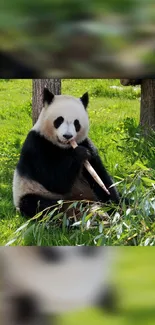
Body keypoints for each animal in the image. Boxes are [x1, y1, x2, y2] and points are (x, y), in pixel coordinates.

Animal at [12, 88, 120, 220]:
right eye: (59, 120)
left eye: (76, 123)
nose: (67, 136)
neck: (64, 147)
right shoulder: (37, 145)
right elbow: (55, 181)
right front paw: (80, 153)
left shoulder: (85, 142)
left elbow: (100, 176)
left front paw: (116, 205)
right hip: (31, 192)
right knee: (39, 205)